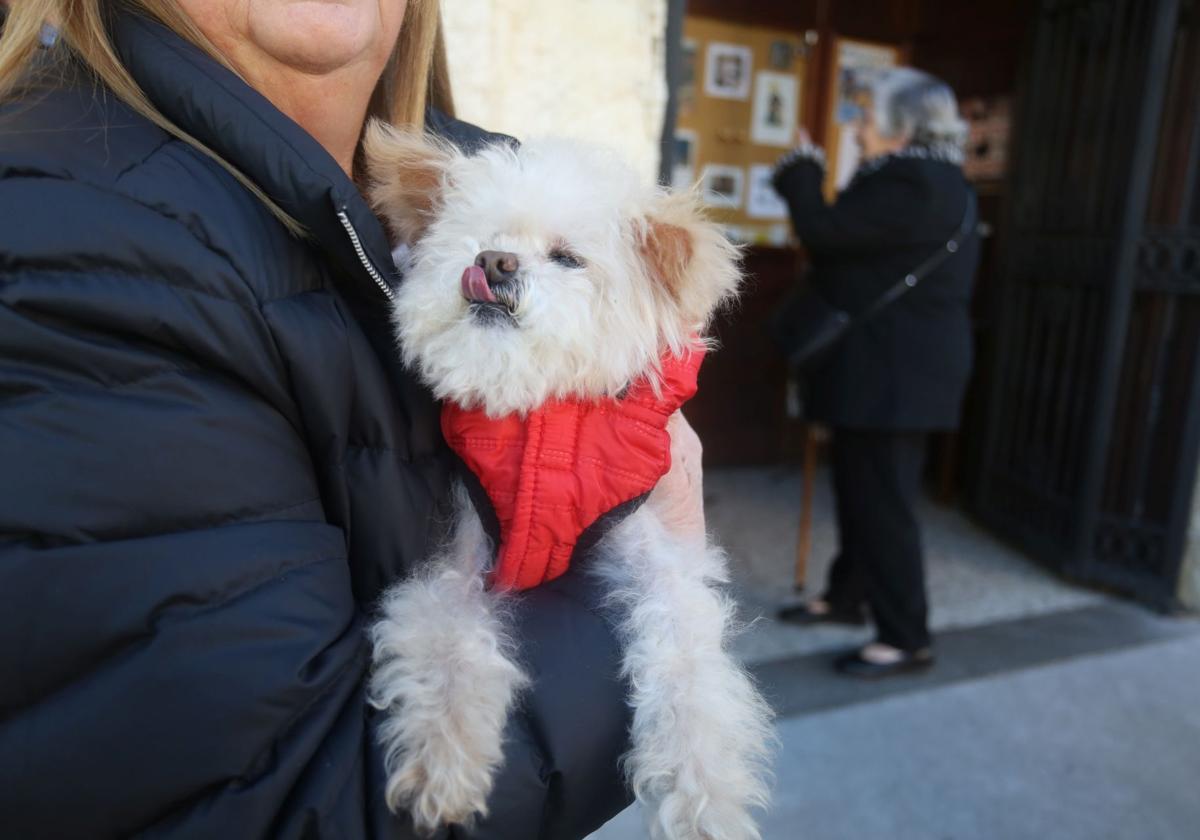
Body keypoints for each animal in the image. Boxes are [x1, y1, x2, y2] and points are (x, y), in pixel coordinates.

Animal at [364, 123, 772, 840]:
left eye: (567, 258)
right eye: (479, 238)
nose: (495, 261)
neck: (538, 411)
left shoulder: (656, 554)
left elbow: (688, 669)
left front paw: (705, 801)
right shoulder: (461, 556)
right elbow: (448, 640)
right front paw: (443, 757)